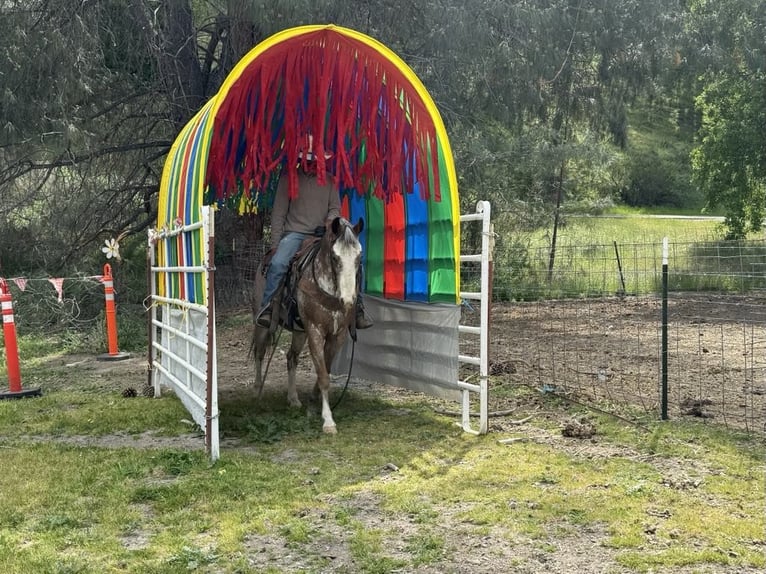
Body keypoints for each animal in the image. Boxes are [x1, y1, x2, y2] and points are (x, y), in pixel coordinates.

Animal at [250, 217, 364, 434]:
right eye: (335, 257)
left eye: (359, 257)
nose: (348, 300)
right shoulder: (315, 331)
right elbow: (323, 375)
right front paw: (328, 421)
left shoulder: (337, 336)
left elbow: (324, 371)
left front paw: (312, 402)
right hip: (262, 325)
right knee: (259, 353)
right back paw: (257, 391)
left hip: (299, 331)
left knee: (291, 358)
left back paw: (293, 399)